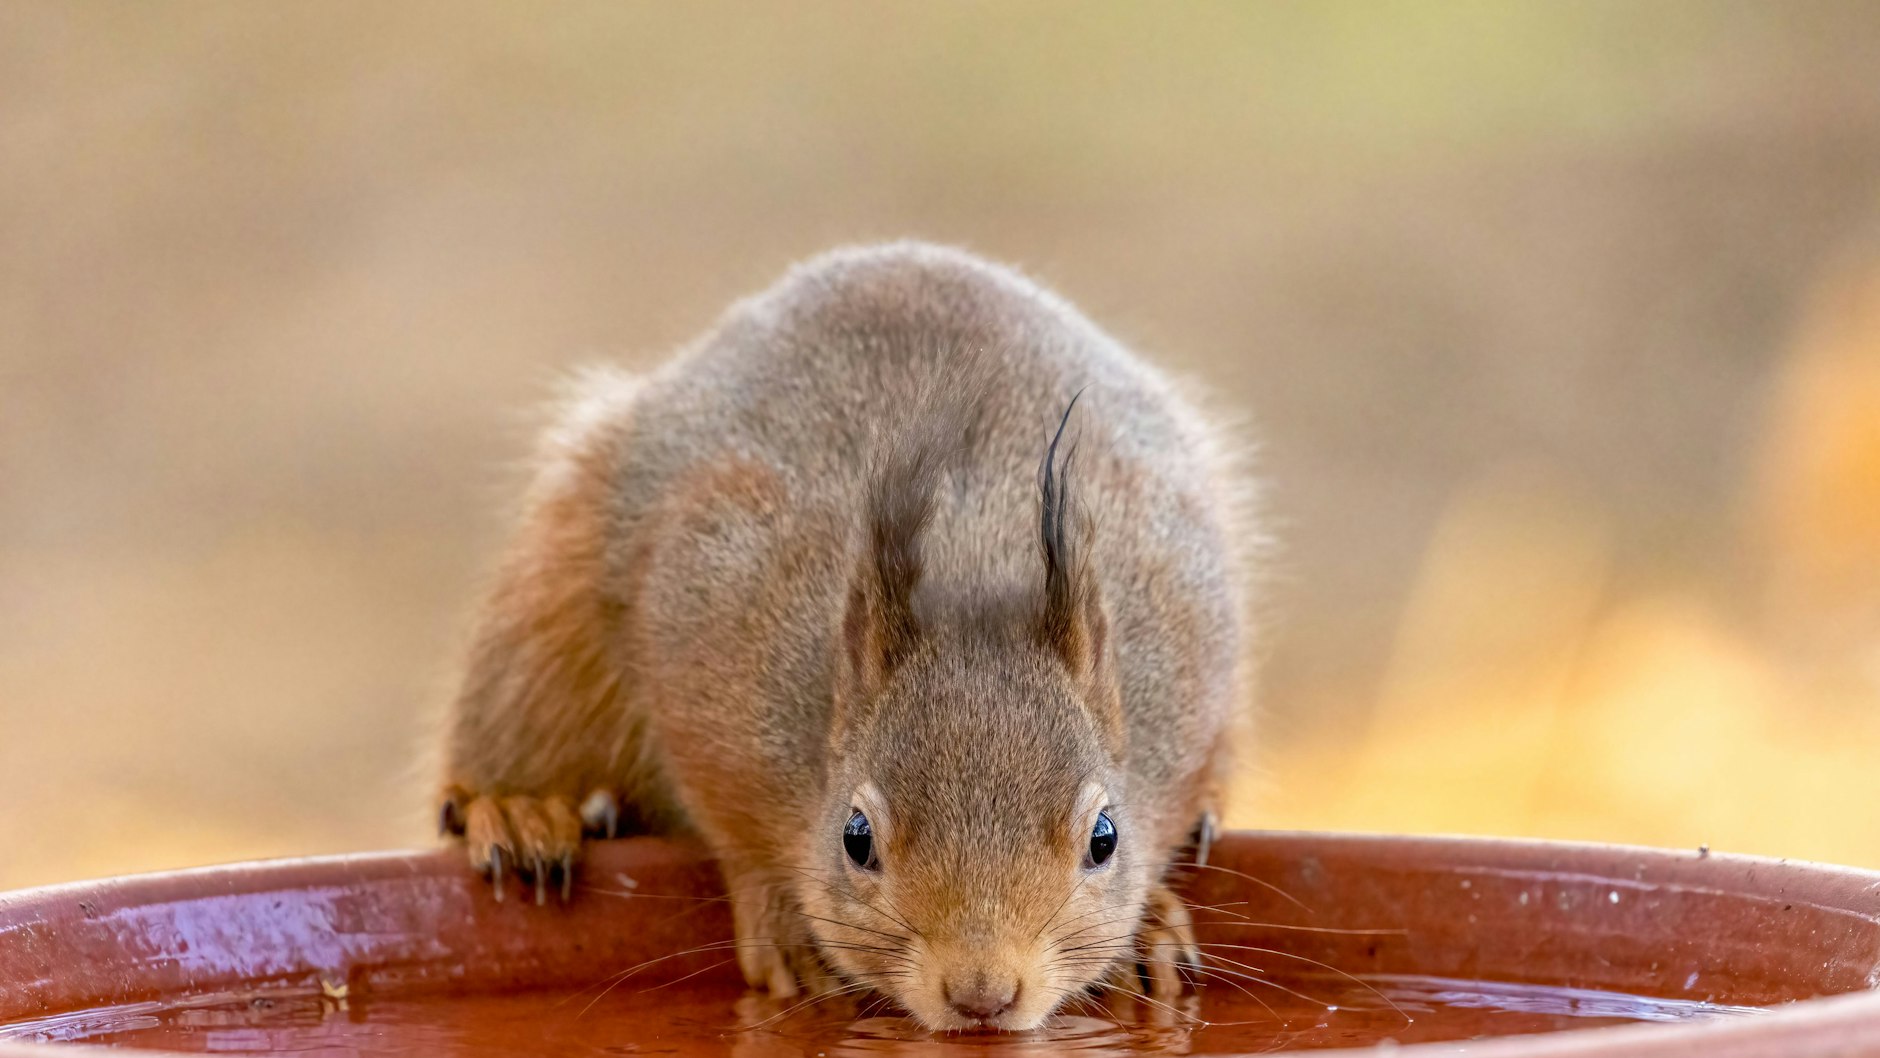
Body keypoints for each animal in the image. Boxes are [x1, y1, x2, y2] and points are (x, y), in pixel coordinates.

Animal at [436, 242, 1254, 1030]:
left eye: (1104, 838)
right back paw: (522, 814)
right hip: (545, 618)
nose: (982, 994)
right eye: (855, 838)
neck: (970, 563)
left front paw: (1147, 929)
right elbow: (735, 834)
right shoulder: (706, 646)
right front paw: (786, 927)